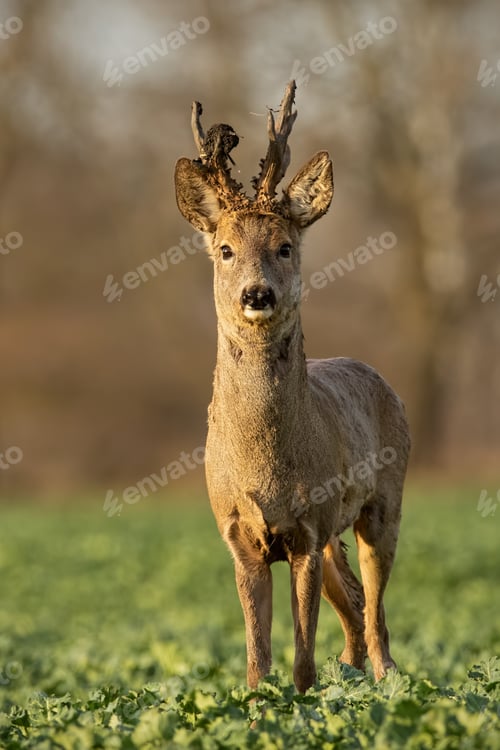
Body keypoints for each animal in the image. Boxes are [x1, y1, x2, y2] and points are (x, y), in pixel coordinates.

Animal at [174, 81, 410, 694]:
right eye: (226, 249)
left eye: (284, 246)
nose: (257, 294)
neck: (268, 471)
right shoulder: (239, 535)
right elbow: (258, 658)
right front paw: (259, 707)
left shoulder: (308, 527)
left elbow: (301, 659)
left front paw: (304, 704)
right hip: (335, 535)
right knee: (353, 608)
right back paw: (351, 677)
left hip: (384, 502)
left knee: (375, 611)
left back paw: (387, 685)